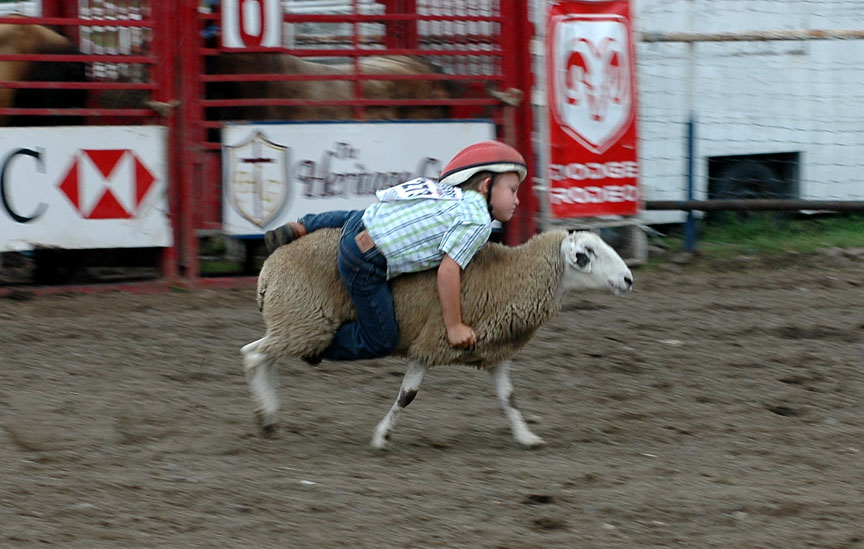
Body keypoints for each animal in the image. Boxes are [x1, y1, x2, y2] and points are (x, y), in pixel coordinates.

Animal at [240, 229, 632, 448]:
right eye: (586, 255)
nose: (628, 279)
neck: (511, 276)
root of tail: (268, 271)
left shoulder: (491, 349)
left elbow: (509, 397)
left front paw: (526, 438)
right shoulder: (430, 342)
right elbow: (407, 396)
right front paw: (381, 438)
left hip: (296, 324)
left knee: (260, 354)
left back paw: (269, 418)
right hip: (305, 321)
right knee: (253, 355)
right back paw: (266, 415)